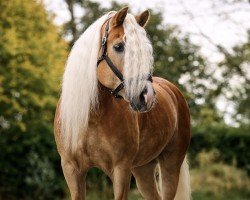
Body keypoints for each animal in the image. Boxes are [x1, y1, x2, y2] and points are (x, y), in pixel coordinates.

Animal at [54, 6, 190, 200]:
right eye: (118, 47)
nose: (147, 96)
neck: (92, 117)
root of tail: (173, 91)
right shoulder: (71, 169)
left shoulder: (121, 169)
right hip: (143, 169)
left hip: (170, 165)